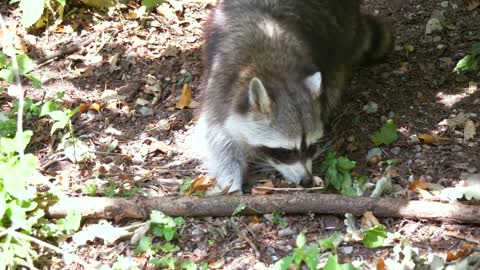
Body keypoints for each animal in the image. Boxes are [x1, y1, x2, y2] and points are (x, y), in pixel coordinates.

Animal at [193, 0, 392, 194]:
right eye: (286, 152)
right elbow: (219, 139)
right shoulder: (221, 88)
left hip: (342, 27)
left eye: (310, 146)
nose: (306, 180)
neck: (273, 71)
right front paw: (231, 181)